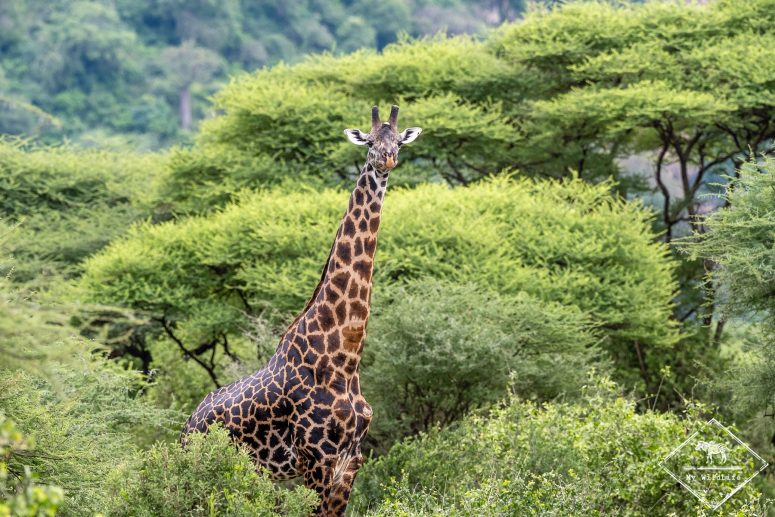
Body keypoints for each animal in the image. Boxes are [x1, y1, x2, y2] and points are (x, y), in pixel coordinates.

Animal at [181, 105, 422, 516]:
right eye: (370, 142)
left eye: (398, 141)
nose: (386, 159)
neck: (346, 356)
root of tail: (186, 426)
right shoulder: (317, 460)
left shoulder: (350, 463)